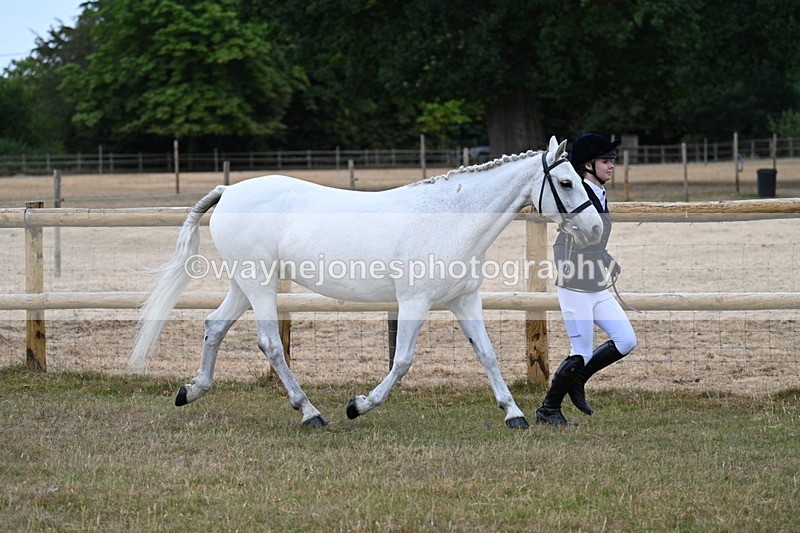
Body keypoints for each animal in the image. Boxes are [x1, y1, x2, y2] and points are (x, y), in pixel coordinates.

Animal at [130, 136, 602, 429]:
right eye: (565, 181)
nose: (596, 229)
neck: (450, 219)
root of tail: (229, 191)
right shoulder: (414, 303)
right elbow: (403, 361)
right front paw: (358, 406)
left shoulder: (465, 301)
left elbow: (487, 355)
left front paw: (513, 414)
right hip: (260, 285)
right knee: (270, 344)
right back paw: (311, 413)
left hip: (244, 284)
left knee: (214, 325)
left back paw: (191, 391)